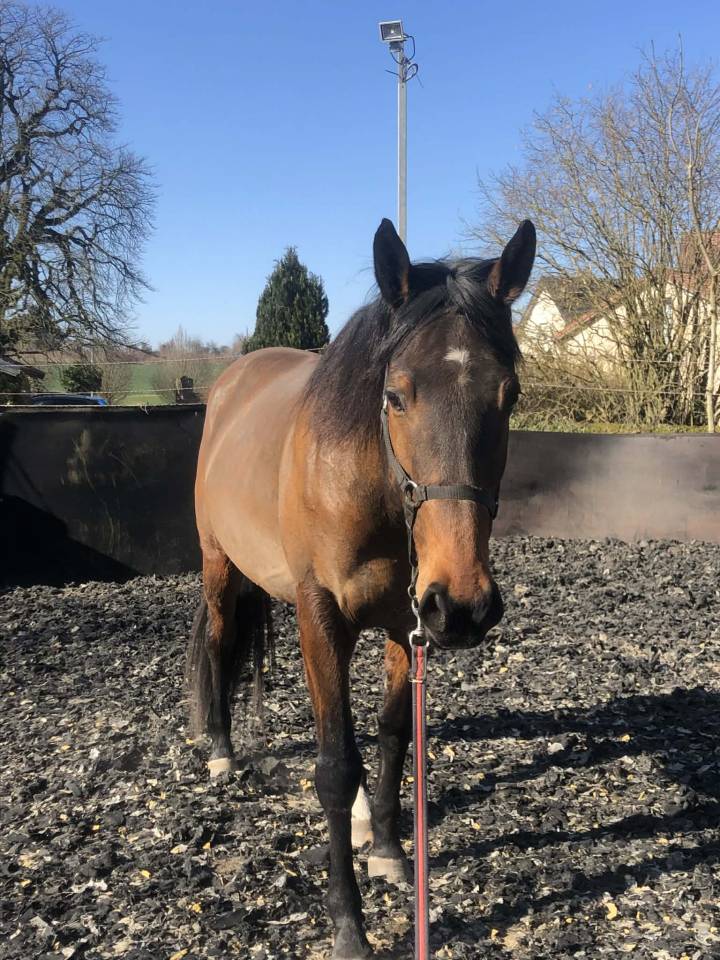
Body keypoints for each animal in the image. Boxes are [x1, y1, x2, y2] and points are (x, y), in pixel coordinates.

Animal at [187, 217, 536, 959]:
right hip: (219, 567)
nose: (466, 605)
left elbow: (392, 736)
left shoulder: (410, 622)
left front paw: (386, 849)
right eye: (395, 394)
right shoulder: (321, 616)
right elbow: (334, 765)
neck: (374, 492)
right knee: (222, 643)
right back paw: (224, 753)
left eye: (510, 396)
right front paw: (349, 925)